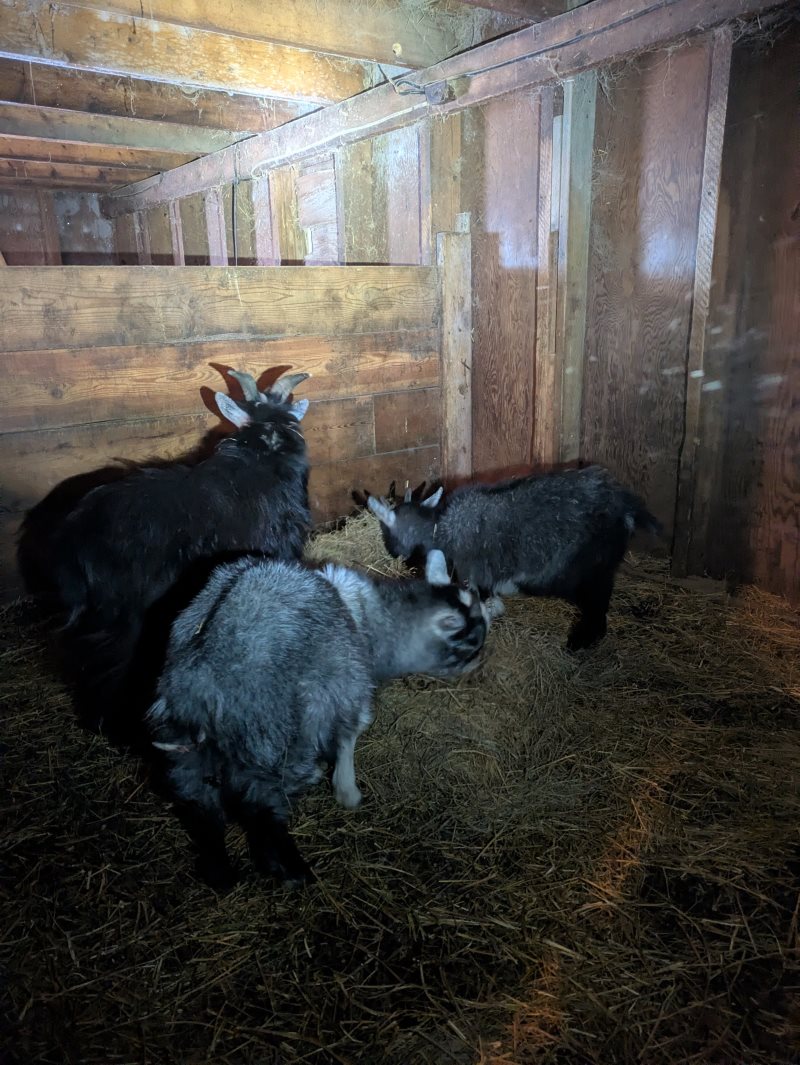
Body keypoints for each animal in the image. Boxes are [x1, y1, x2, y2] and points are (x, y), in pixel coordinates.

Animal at [147, 548, 492, 890]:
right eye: (472, 644)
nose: (479, 664)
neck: (379, 620)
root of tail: (200, 686)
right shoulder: (348, 686)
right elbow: (350, 733)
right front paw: (347, 791)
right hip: (274, 736)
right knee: (261, 805)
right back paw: (292, 868)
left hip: (187, 750)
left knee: (199, 805)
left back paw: (220, 872)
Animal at [366, 465, 661, 651]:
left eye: (387, 532)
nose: (394, 555)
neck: (442, 527)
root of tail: (626, 505)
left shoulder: (475, 573)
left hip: (592, 568)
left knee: (597, 605)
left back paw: (579, 643)